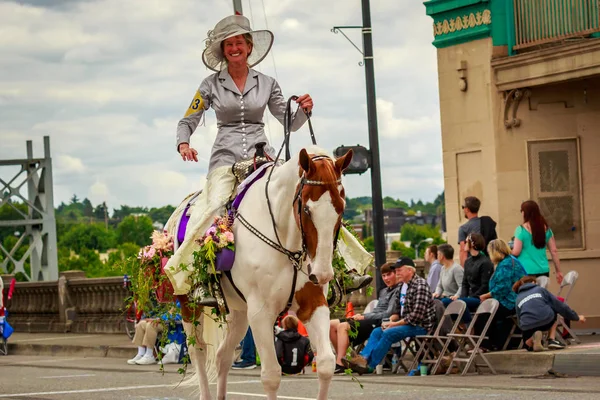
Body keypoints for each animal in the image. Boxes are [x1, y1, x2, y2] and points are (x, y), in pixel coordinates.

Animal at [172, 147, 352, 400]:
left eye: (341, 208)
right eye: (307, 209)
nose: (322, 273)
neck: (288, 243)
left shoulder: (313, 303)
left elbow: (326, 363)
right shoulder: (260, 312)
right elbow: (271, 375)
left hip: (238, 312)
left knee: (222, 356)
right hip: (190, 305)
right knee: (198, 351)